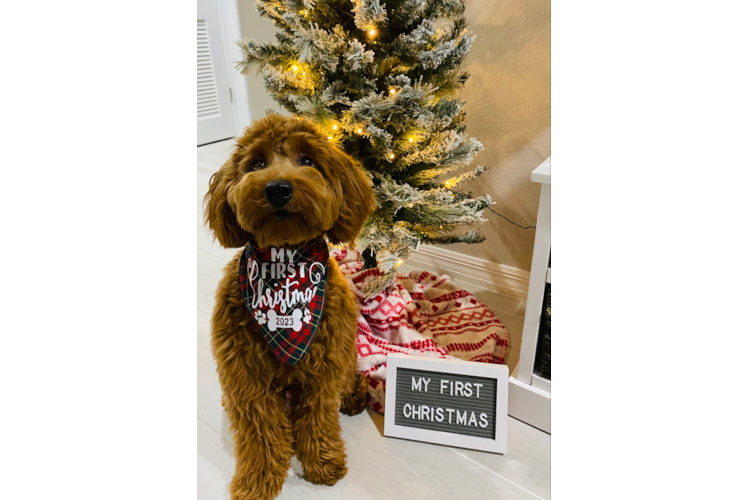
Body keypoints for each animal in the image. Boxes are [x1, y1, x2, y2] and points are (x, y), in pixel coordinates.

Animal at [203, 114, 374, 500]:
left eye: (307, 160)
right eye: (256, 164)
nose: (277, 189)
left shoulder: (324, 370)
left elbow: (318, 418)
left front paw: (323, 463)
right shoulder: (246, 377)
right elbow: (260, 433)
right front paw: (257, 481)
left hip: (344, 359)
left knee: (349, 380)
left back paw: (355, 397)